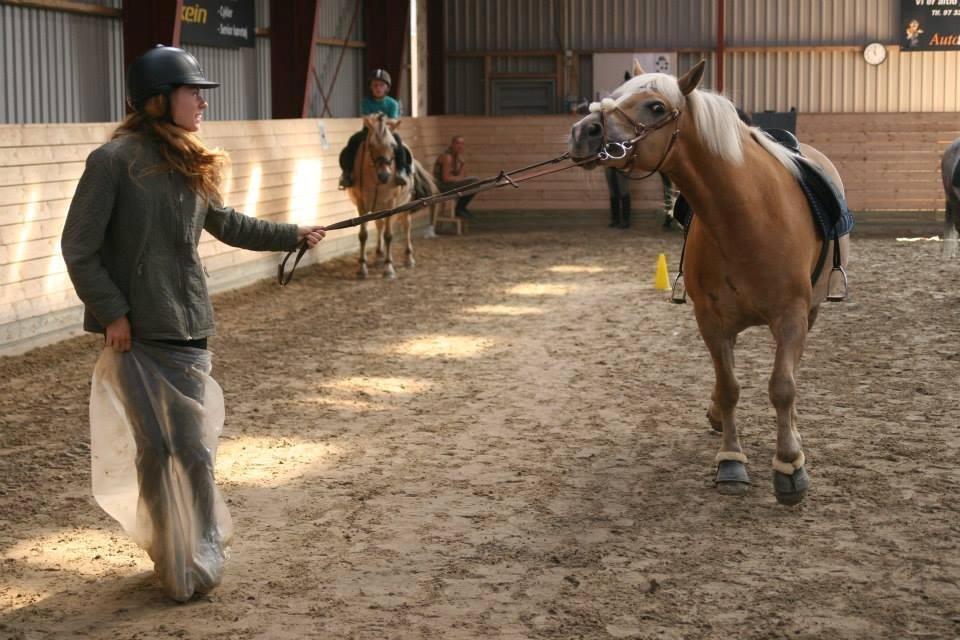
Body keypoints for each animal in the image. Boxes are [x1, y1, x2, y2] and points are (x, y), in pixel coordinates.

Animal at [347, 113, 437, 278]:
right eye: (370, 145)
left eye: (393, 146)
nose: (384, 175)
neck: (375, 179)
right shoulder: (362, 205)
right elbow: (363, 235)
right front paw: (362, 268)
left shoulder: (391, 203)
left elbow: (389, 235)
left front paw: (388, 268)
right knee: (380, 226)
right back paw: (379, 255)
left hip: (404, 205)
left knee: (406, 226)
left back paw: (408, 258)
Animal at [569, 60, 851, 505]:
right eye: (615, 94)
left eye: (655, 106)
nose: (583, 132)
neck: (745, 216)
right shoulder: (711, 319)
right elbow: (730, 385)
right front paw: (731, 460)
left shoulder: (792, 317)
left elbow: (782, 386)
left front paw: (790, 465)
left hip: (812, 311)